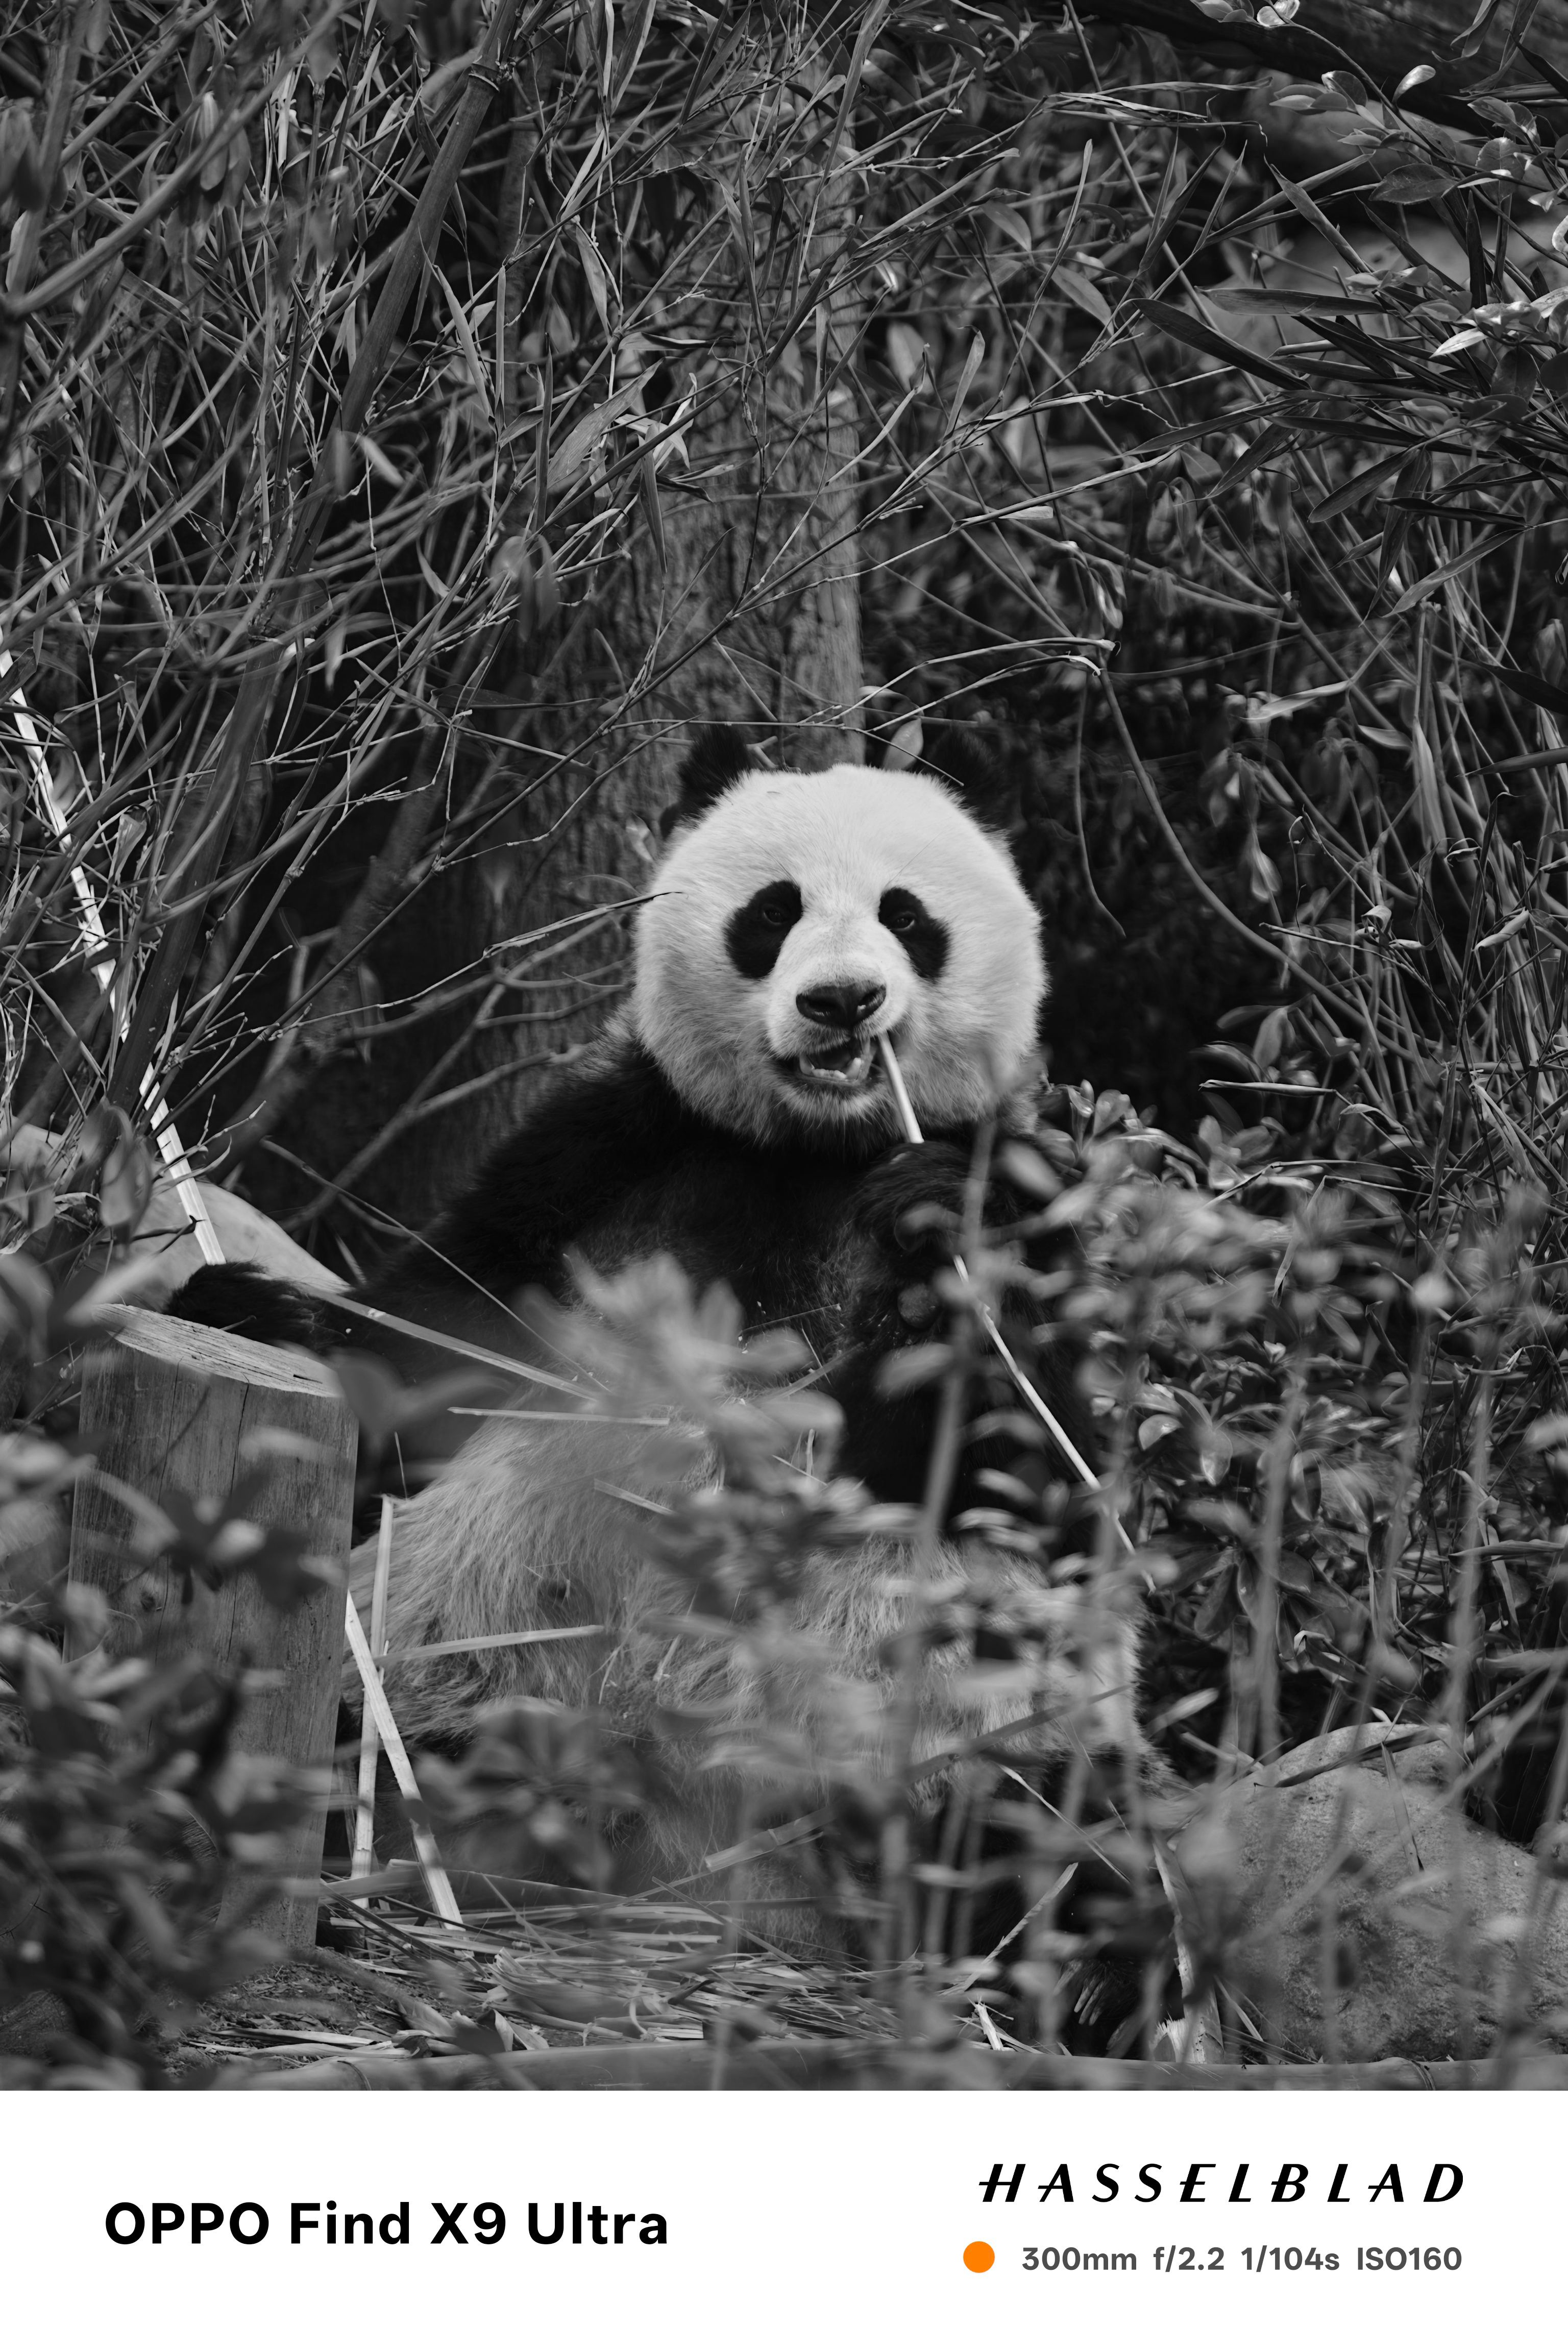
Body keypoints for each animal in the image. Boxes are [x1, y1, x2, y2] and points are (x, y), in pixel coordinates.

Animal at [175, 725, 1153, 2002]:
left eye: (907, 916)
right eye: (774, 913)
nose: (843, 1001)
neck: (811, 1150)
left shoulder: (1023, 1190)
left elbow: (1033, 1462)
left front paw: (931, 1241)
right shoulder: (608, 1150)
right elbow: (442, 1331)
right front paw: (246, 1305)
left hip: (953, 1726)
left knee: (1043, 1817)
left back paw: (1066, 1966)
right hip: (460, 1644)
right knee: (388, 1702)